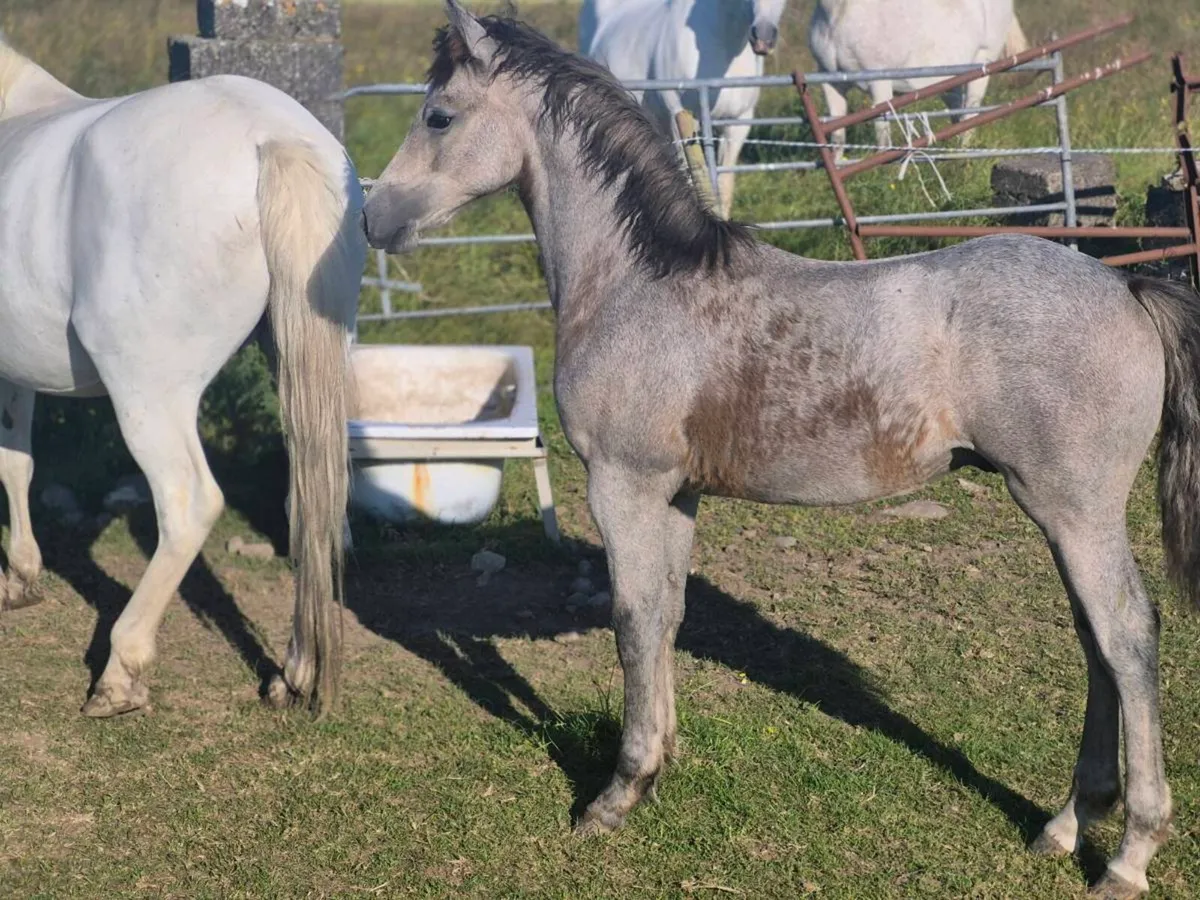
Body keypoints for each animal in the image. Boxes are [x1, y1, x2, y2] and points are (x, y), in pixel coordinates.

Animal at [0, 37, 365, 717]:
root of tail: (272, 137)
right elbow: (17, 461)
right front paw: (21, 578)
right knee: (310, 500)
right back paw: (294, 674)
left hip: (149, 393)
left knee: (188, 502)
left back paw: (120, 673)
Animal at [808, 0, 1029, 156]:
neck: (839, 15)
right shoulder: (831, 82)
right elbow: (837, 137)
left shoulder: (879, 83)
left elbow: (882, 134)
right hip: (951, 77)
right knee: (958, 112)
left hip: (981, 66)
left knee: (970, 116)